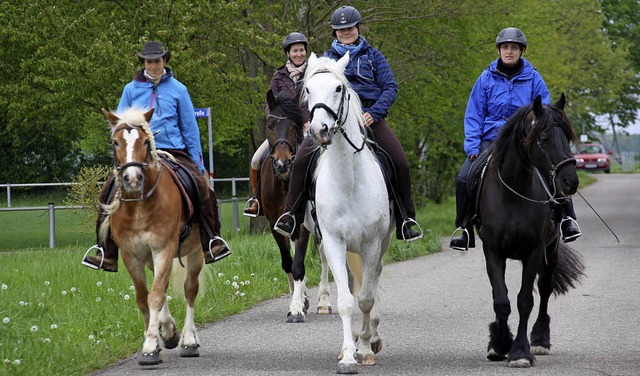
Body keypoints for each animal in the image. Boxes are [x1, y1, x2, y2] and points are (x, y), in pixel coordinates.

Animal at [100, 107, 208, 366]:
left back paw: (189, 340)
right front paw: (159, 339)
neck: (139, 205)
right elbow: (144, 297)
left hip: (195, 253)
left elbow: (156, 296)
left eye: (146, 141)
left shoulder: (164, 249)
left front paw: (150, 347)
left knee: (190, 289)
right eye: (115, 142)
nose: (132, 179)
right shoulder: (132, 255)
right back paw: (168, 331)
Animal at [302, 52, 396, 374]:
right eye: (308, 89)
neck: (349, 180)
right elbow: (346, 300)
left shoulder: (371, 244)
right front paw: (347, 355)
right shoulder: (333, 242)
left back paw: (372, 337)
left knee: (374, 279)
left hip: (381, 244)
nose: (319, 130)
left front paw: (365, 348)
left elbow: (366, 298)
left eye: (338, 88)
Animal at [476, 94, 584, 368]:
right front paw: (499, 343)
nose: (570, 181)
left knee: (544, 290)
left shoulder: (533, 252)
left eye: (566, 136)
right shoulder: (493, 252)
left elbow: (525, 300)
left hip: (551, 250)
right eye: (543, 138)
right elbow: (501, 300)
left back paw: (540, 340)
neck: (514, 191)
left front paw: (520, 352)